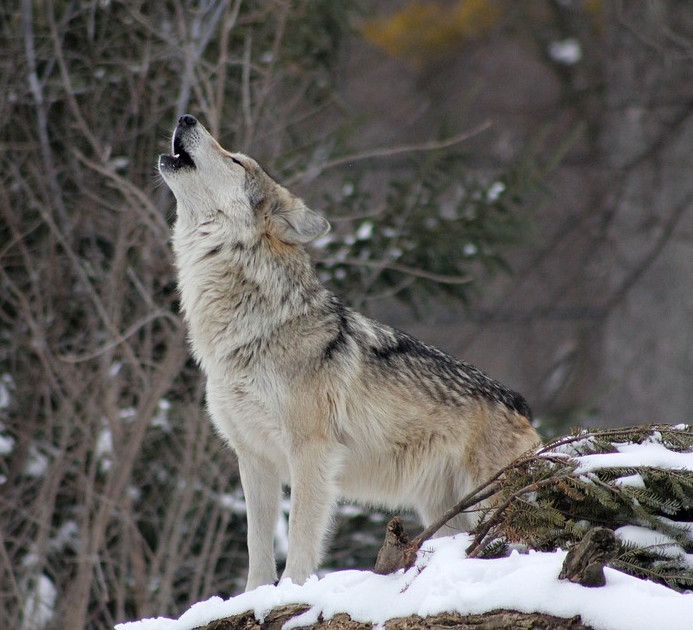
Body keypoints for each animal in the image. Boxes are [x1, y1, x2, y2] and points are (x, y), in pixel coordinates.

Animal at [158, 114, 540, 591]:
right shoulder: (254, 458)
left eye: (236, 160)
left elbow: (300, 538)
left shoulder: (311, 452)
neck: (252, 329)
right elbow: (257, 548)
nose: (186, 117)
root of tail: (521, 404)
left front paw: (291, 592)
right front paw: (254, 597)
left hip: (490, 504)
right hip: (446, 513)